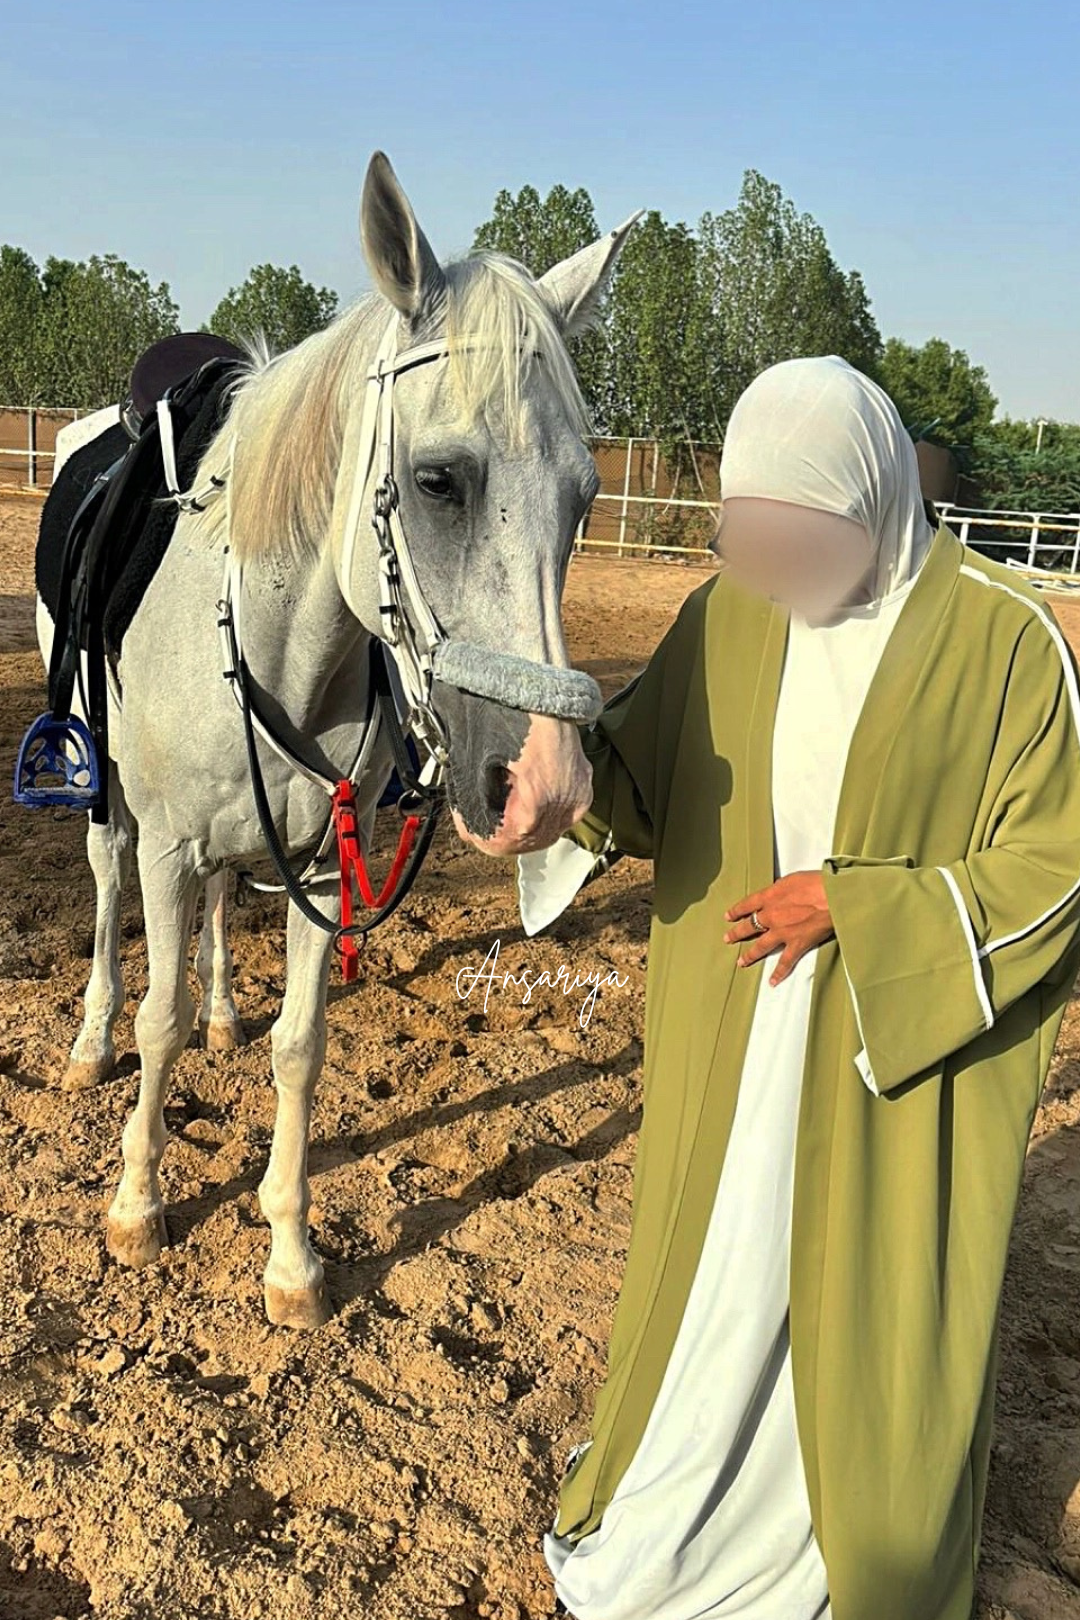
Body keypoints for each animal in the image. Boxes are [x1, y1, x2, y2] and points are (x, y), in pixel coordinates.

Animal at [35, 154, 641, 1328]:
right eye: (440, 479)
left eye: (587, 497)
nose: (546, 788)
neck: (276, 649)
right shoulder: (168, 846)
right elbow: (158, 1023)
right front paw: (137, 1206)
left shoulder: (321, 859)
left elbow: (300, 1048)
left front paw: (290, 1255)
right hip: (111, 791)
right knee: (106, 883)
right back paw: (88, 1042)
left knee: (227, 907)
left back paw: (227, 1011)